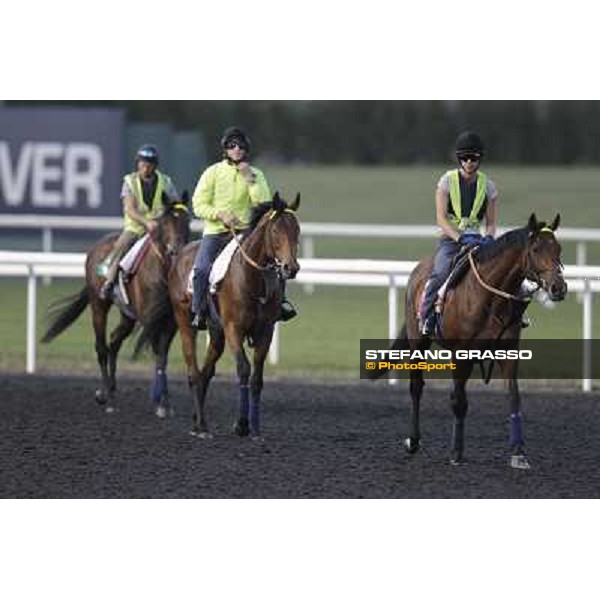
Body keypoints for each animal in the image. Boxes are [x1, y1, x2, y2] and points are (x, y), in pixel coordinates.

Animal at [41, 199, 190, 414]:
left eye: (187, 221)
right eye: (165, 223)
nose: (175, 250)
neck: (162, 272)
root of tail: (95, 248)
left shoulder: (170, 322)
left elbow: (162, 357)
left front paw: (165, 403)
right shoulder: (150, 320)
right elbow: (158, 355)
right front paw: (161, 403)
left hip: (127, 315)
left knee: (114, 341)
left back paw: (110, 389)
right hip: (98, 304)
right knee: (102, 346)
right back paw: (106, 396)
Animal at [134, 195, 300, 438]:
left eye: (297, 229)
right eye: (276, 230)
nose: (291, 268)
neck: (251, 279)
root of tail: (177, 259)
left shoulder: (265, 331)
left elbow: (257, 378)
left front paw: (255, 427)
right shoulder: (233, 328)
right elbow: (243, 369)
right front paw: (241, 424)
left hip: (216, 332)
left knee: (206, 372)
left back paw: (197, 421)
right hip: (185, 323)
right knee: (194, 372)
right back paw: (201, 426)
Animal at [390, 212, 568, 468]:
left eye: (558, 248)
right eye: (535, 249)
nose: (558, 287)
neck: (490, 299)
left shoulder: (508, 351)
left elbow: (514, 397)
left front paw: (518, 452)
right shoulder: (461, 355)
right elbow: (459, 402)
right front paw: (456, 452)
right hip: (418, 341)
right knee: (416, 387)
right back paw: (413, 441)